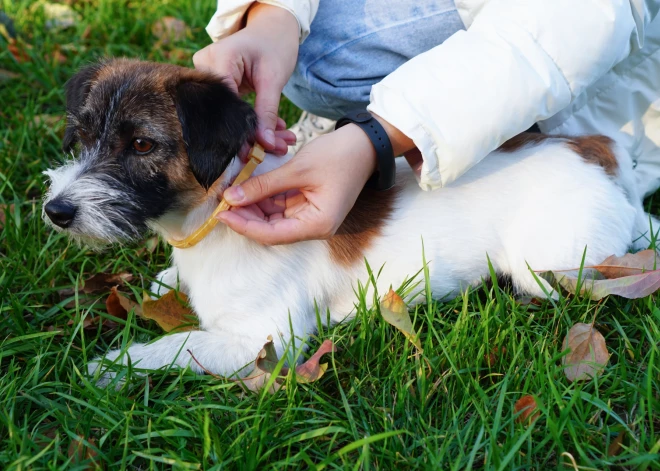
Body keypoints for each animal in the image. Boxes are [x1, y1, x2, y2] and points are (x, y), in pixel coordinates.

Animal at [43, 58, 656, 388]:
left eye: (142, 145)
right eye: (84, 133)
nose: (56, 211)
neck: (206, 219)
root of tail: (598, 151)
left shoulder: (263, 340)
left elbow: (179, 345)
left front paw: (115, 366)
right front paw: (166, 283)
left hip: (547, 265)